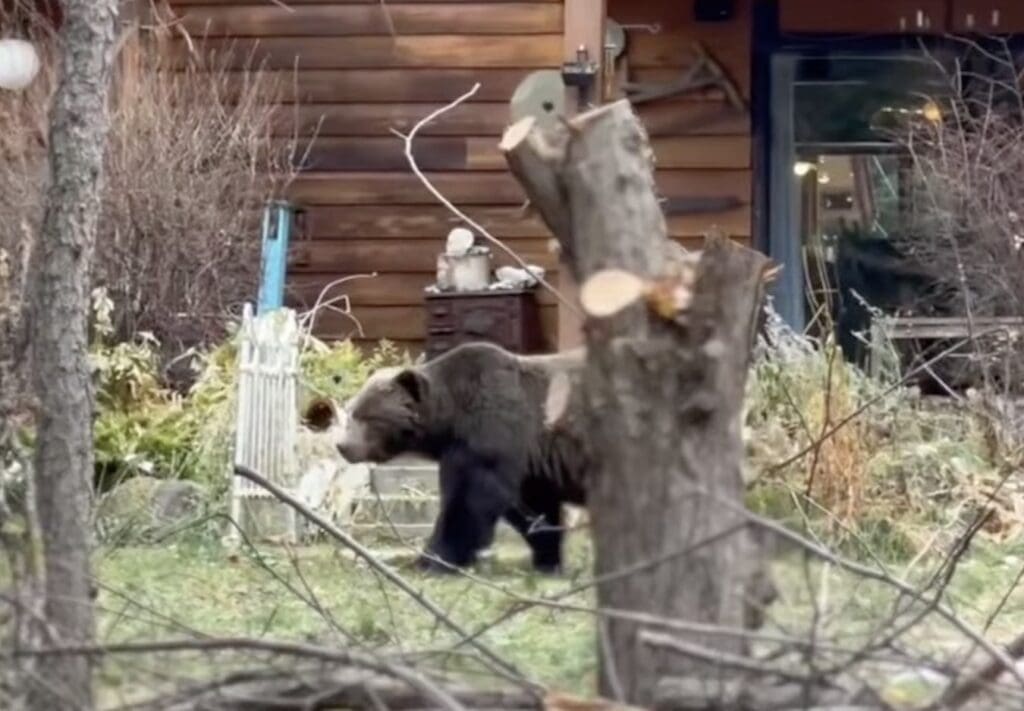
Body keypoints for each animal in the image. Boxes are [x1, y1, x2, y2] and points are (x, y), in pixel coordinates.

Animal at [334, 341, 588, 574]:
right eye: (353, 412)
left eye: (369, 417)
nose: (343, 446)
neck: (450, 418)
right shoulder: (529, 463)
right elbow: (533, 506)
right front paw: (548, 559)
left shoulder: (489, 432)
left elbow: (467, 501)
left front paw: (432, 560)